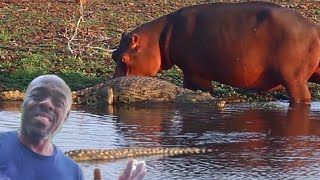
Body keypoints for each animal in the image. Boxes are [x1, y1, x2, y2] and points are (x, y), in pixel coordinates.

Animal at [112, 1, 320, 105]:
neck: (157, 38)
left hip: (293, 79)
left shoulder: (194, 72)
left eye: (123, 58)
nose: (112, 83)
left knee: (302, 97)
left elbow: (198, 89)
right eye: (113, 55)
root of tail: (314, 28)